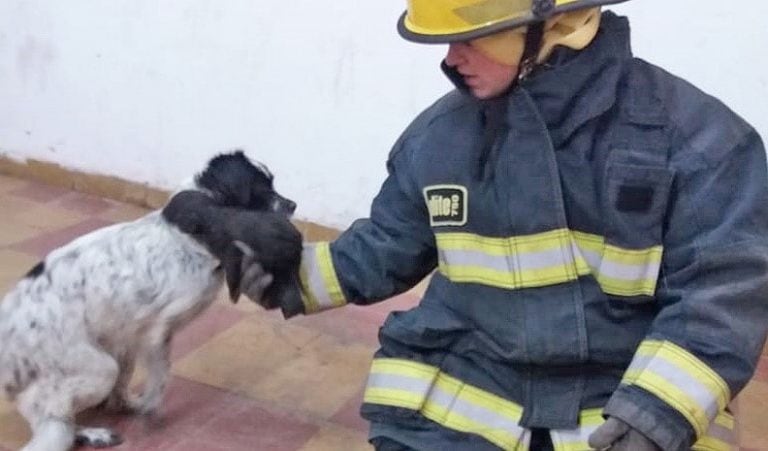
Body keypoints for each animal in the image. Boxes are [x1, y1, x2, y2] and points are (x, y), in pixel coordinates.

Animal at [0, 151, 304, 451]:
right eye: (261, 190)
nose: (293, 205)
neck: (191, 240)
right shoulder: (157, 330)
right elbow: (160, 379)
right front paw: (151, 411)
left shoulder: (142, 336)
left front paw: (140, 406)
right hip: (96, 366)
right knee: (50, 413)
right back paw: (91, 432)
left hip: (118, 347)